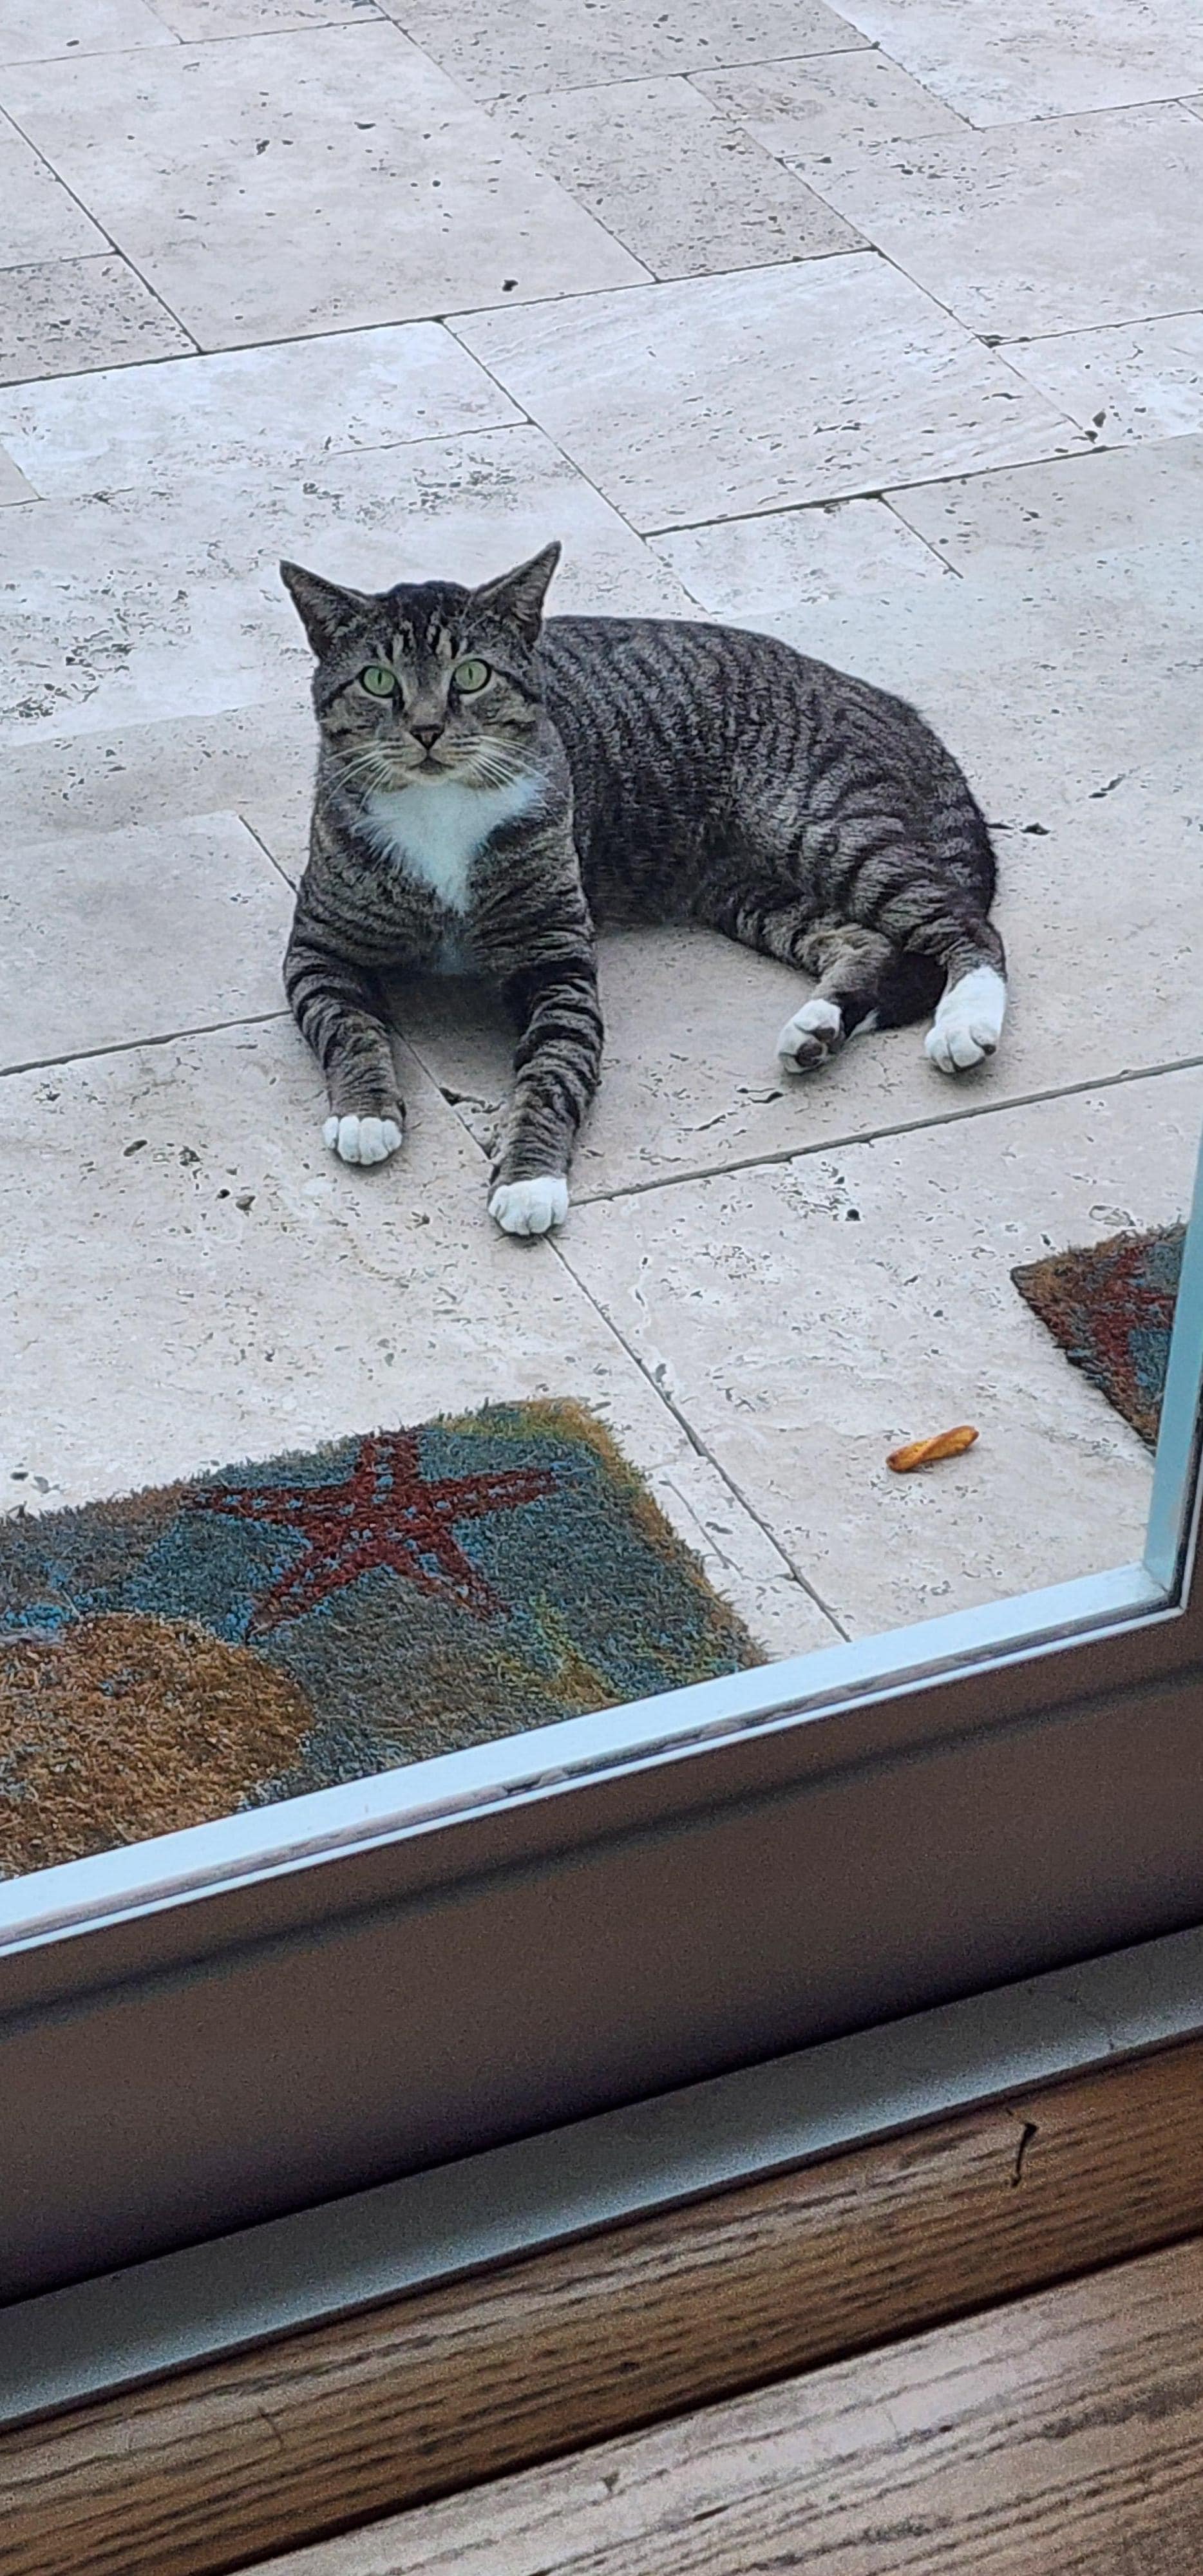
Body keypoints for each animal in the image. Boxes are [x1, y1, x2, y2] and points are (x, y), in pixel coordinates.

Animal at [281, 541, 1006, 1236]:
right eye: (378, 681)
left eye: (472, 675)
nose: (427, 729)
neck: (438, 808)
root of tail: (876, 695)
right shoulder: (317, 950)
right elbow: (347, 1027)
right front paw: (367, 1113)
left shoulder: (557, 963)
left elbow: (553, 1068)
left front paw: (530, 1180)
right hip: (747, 891)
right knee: (862, 939)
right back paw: (818, 1027)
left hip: (824, 826)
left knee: (965, 923)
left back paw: (965, 1020)